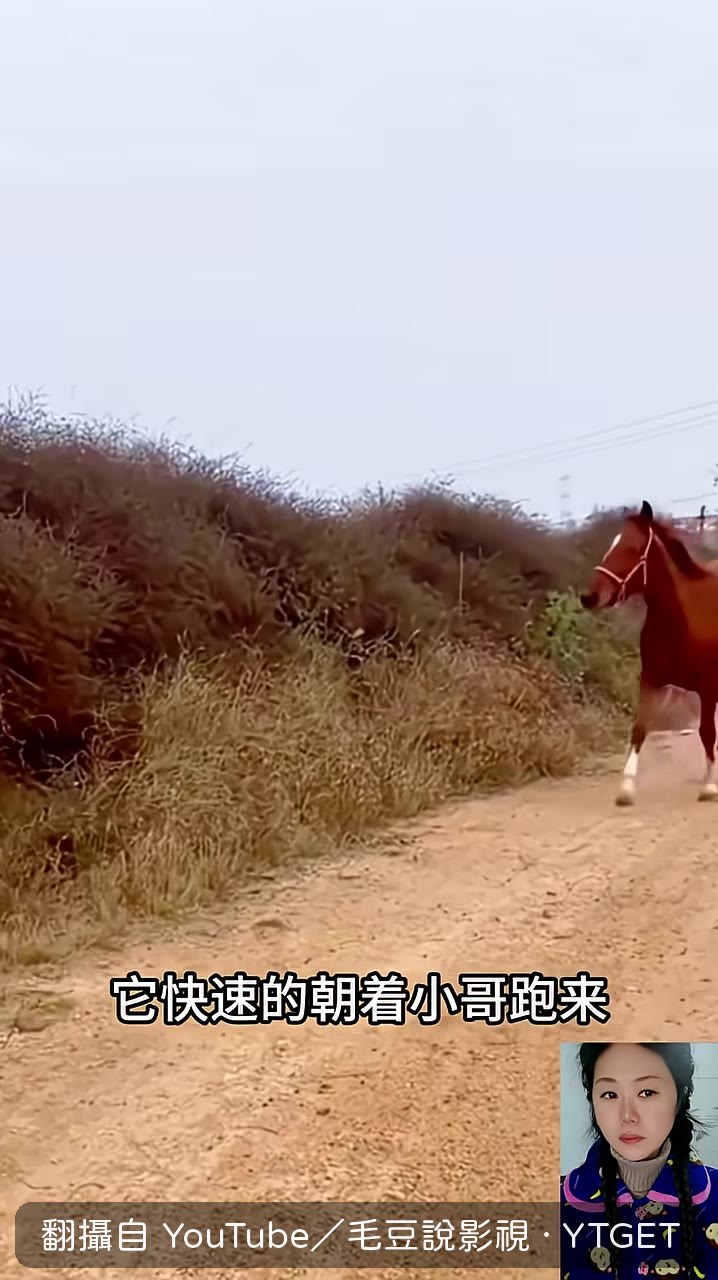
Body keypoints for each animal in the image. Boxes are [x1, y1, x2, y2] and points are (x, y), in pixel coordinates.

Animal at [579, 500, 718, 805]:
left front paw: (709, 787)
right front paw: (626, 789)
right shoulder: (651, 680)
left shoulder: (708, 687)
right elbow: (640, 728)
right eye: (612, 544)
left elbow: (707, 733)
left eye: (632, 548)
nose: (589, 597)